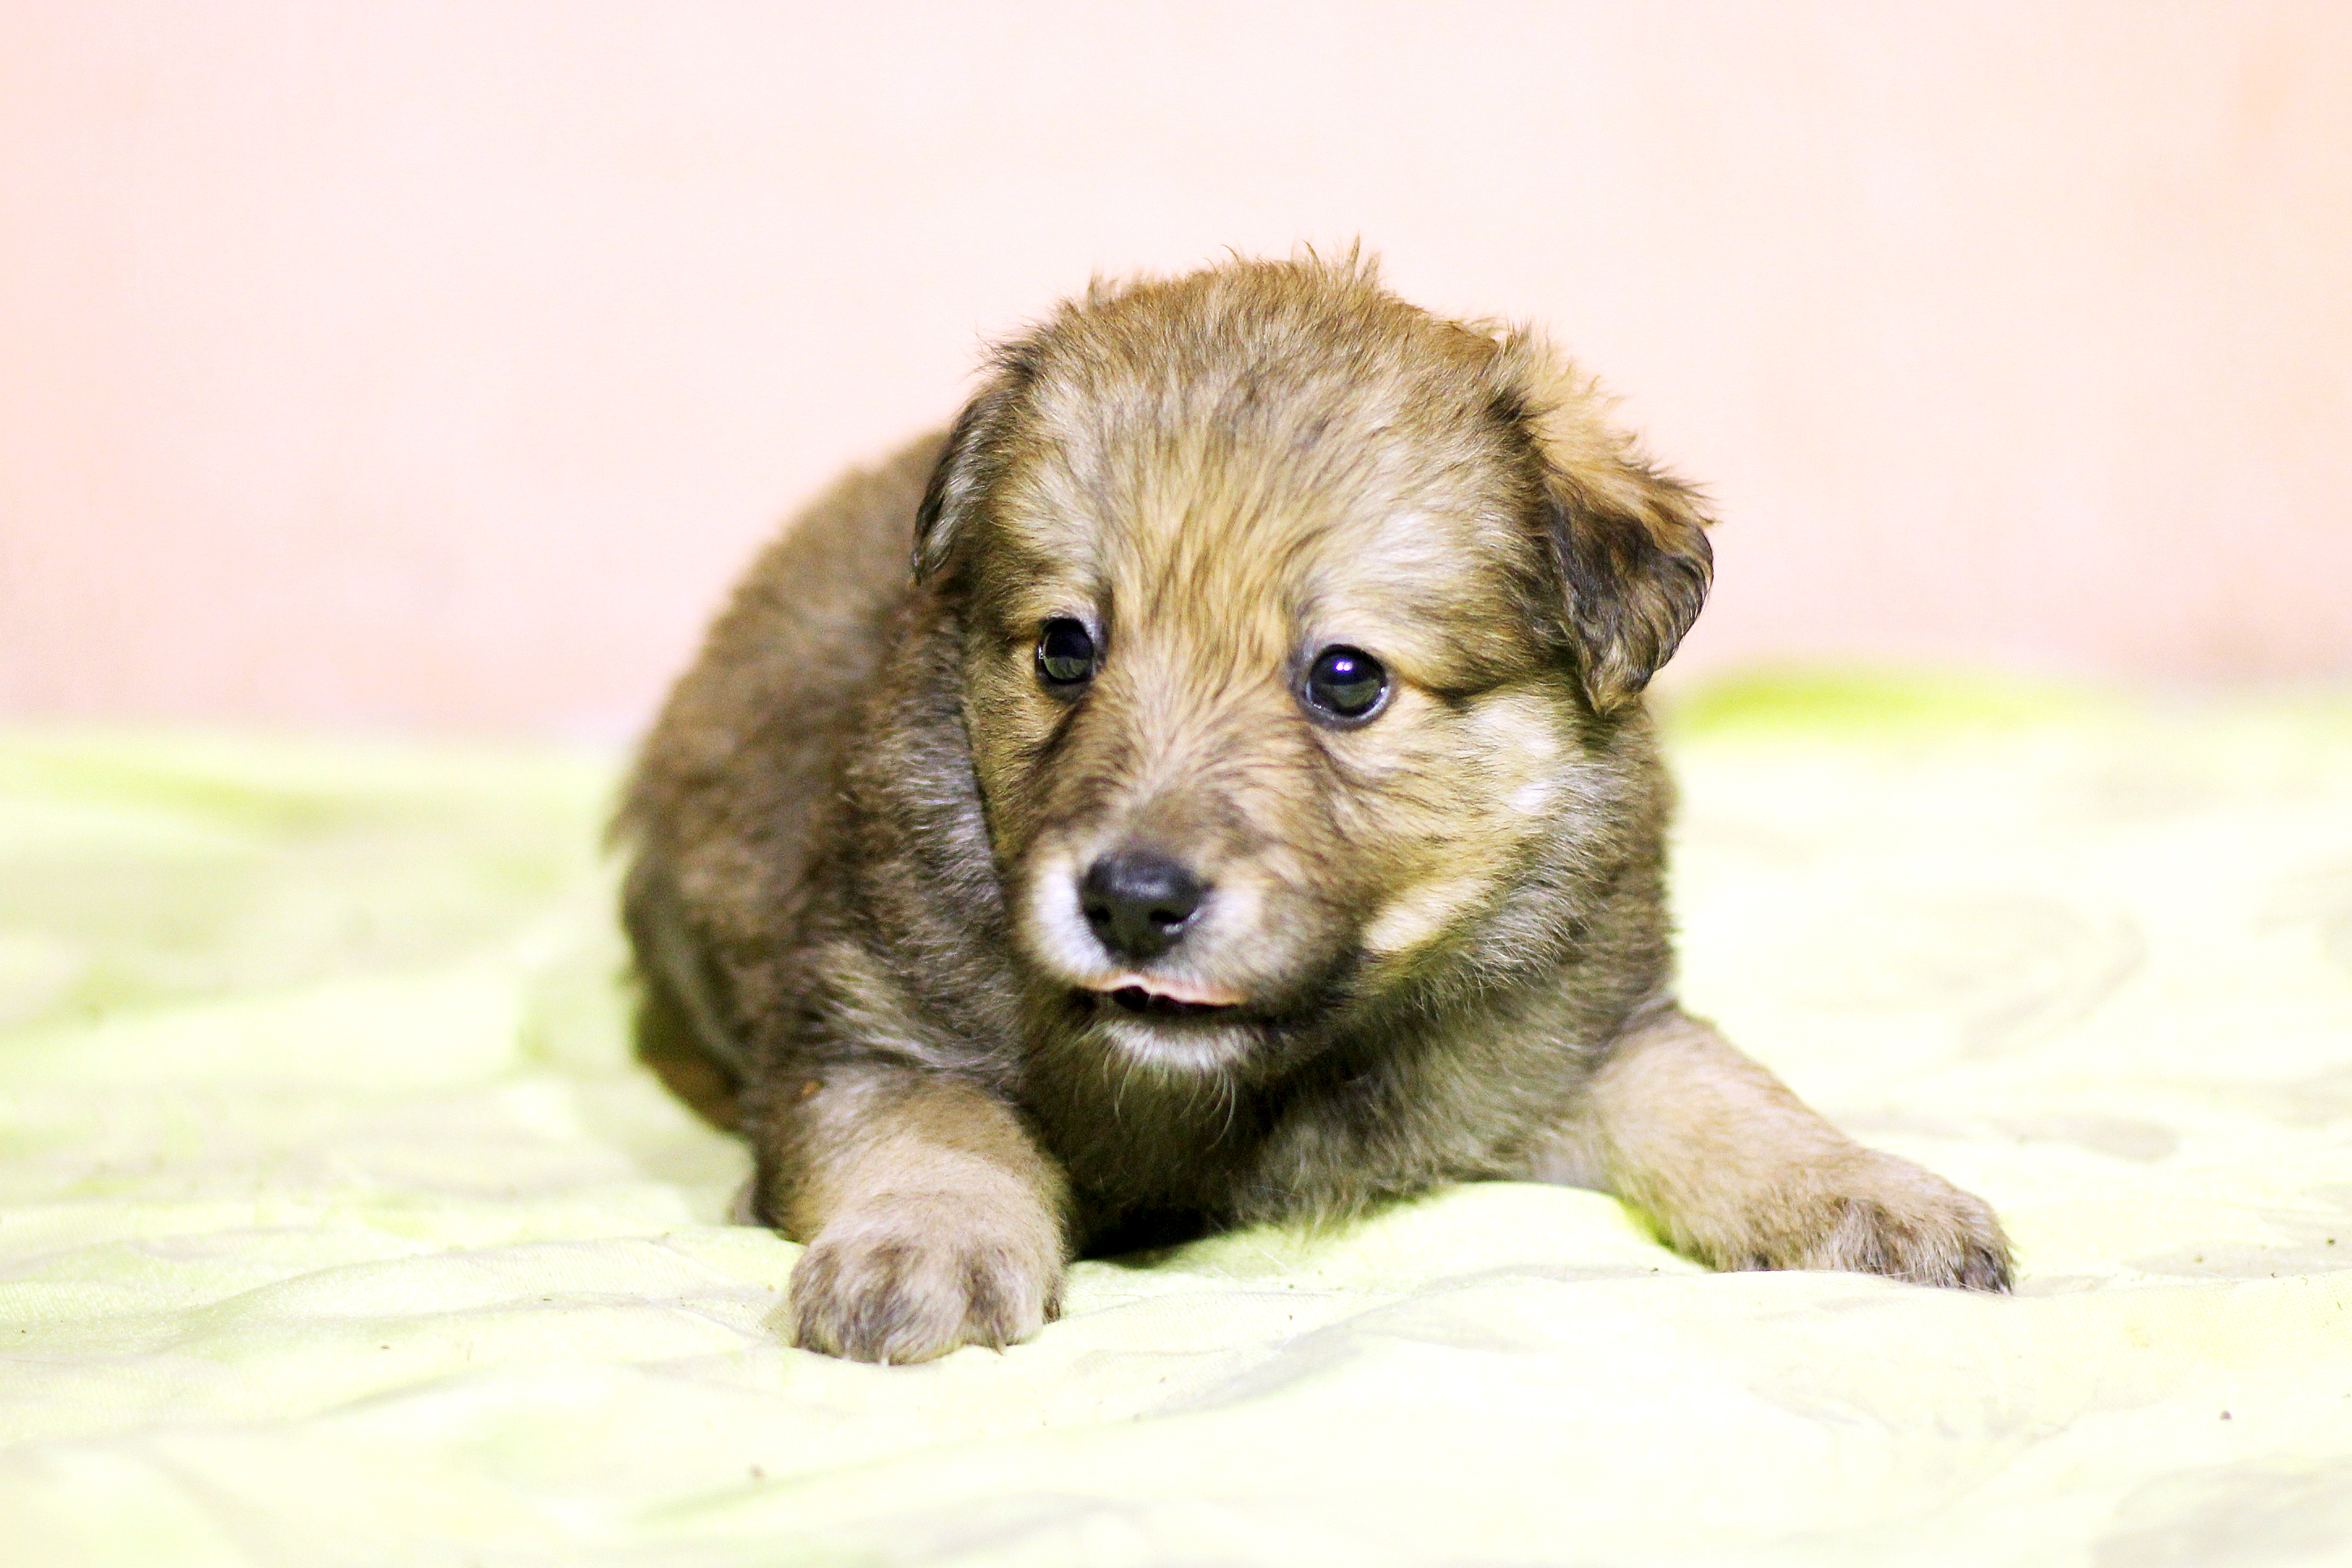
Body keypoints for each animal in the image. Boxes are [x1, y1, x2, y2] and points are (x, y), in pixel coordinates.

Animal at [617, 255, 2012, 1364]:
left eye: (1345, 678)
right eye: (1065, 649)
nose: (1133, 904)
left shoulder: (1580, 1038)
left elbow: (1721, 1093)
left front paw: (1873, 1197)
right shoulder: (867, 1037)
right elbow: (939, 1135)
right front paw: (923, 1250)